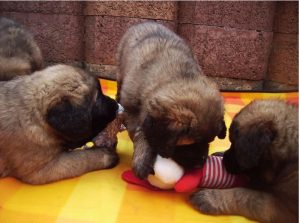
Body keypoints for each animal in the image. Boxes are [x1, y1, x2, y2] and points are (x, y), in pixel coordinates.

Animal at [116, 22, 226, 179]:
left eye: (209, 142)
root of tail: (146, 22)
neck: (178, 76)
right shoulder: (132, 109)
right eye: (187, 144)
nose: (200, 164)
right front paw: (142, 159)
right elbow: (139, 131)